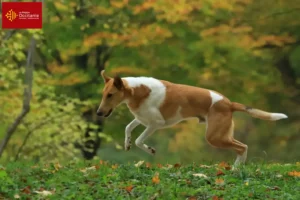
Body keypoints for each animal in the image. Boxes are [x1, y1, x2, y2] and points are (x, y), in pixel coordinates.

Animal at [97, 70, 288, 166]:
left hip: (214, 137)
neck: (138, 91)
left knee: (242, 147)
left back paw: (235, 169)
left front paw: (149, 150)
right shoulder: (142, 119)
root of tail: (228, 103)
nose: (98, 113)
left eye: (110, 95)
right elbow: (128, 128)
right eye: (103, 94)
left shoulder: (155, 124)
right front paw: (127, 143)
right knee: (242, 147)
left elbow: (139, 140)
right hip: (223, 134)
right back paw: (237, 168)